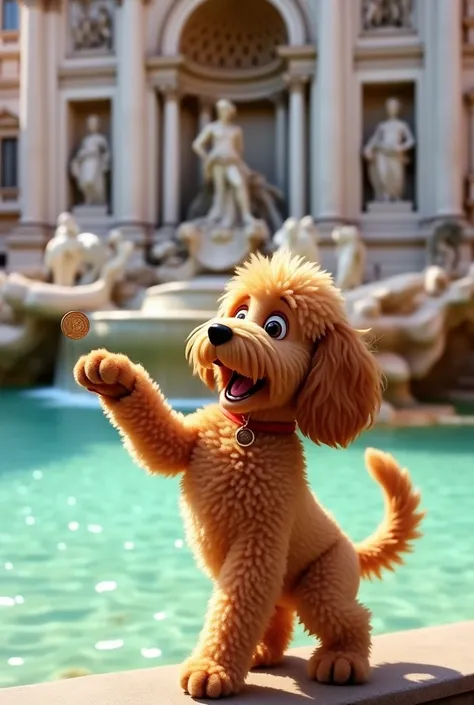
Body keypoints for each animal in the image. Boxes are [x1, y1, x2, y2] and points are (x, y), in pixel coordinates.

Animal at [75, 250, 426, 696]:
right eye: (241, 312)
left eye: (275, 327)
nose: (218, 330)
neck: (246, 432)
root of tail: (352, 545)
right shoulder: (191, 443)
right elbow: (158, 443)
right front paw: (112, 374)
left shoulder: (258, 540)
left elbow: (234, 607)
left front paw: (211, 670)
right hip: (286, 587)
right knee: (278, 614)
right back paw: (263, 653)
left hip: (324, 580)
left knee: (351, 617)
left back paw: (342, 660)